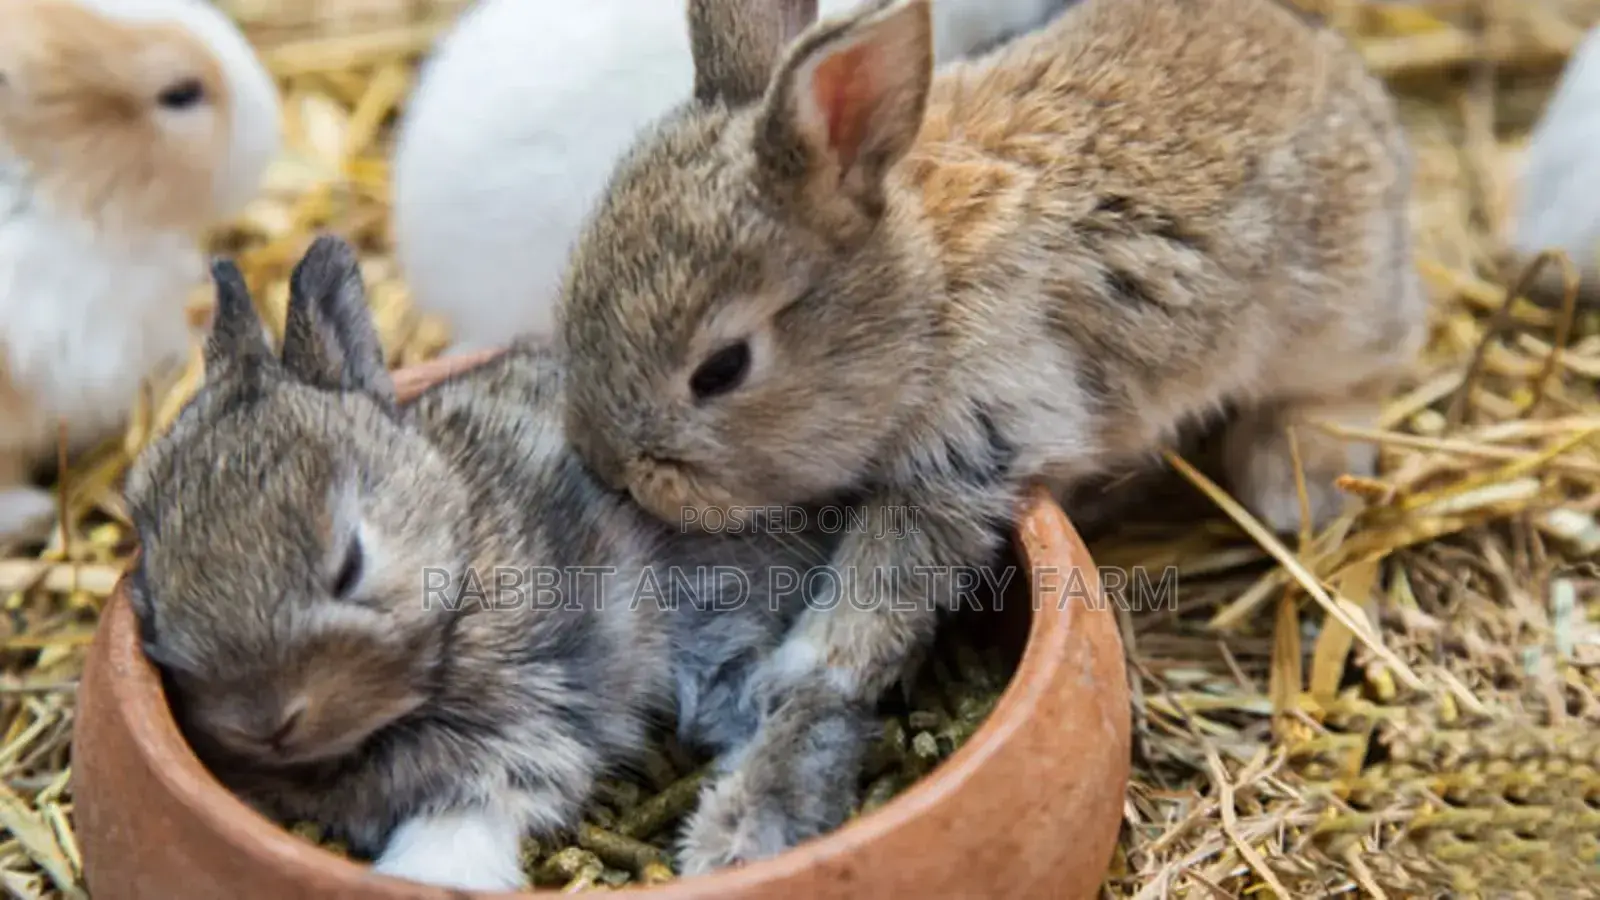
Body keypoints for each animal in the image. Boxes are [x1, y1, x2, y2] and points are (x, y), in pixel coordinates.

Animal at [122, 234, 875, 887]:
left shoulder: (528, 722)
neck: (459, 572)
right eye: (151, 584)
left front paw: (429, 872)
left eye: (351, 564)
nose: (264, 723)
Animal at [555, 0, 1428, 708]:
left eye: (722, 369)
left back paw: (1291, 484)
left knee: (1363, 379)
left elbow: (889, 574)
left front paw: (799, 673)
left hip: (1331, 318)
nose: (608, 469)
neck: (925, 296)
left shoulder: (970, 450)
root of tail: (1353, 85)